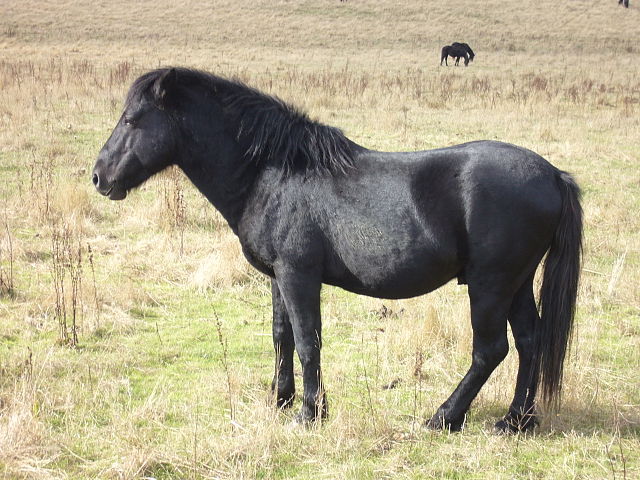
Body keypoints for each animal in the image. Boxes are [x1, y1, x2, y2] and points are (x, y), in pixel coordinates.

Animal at [92, 68, 584, 436]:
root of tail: (552, 174)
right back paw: (516, 421)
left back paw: (445, 417)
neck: (274, 174)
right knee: (530, 342)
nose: (99, 177)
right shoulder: (278, 277)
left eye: (132, 119)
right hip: (516, 284)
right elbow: (282, 336)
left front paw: (310, 413)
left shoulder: (298, 275)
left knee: (491, 349)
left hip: (490, 285)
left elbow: (308, 340)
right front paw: (280, 400)